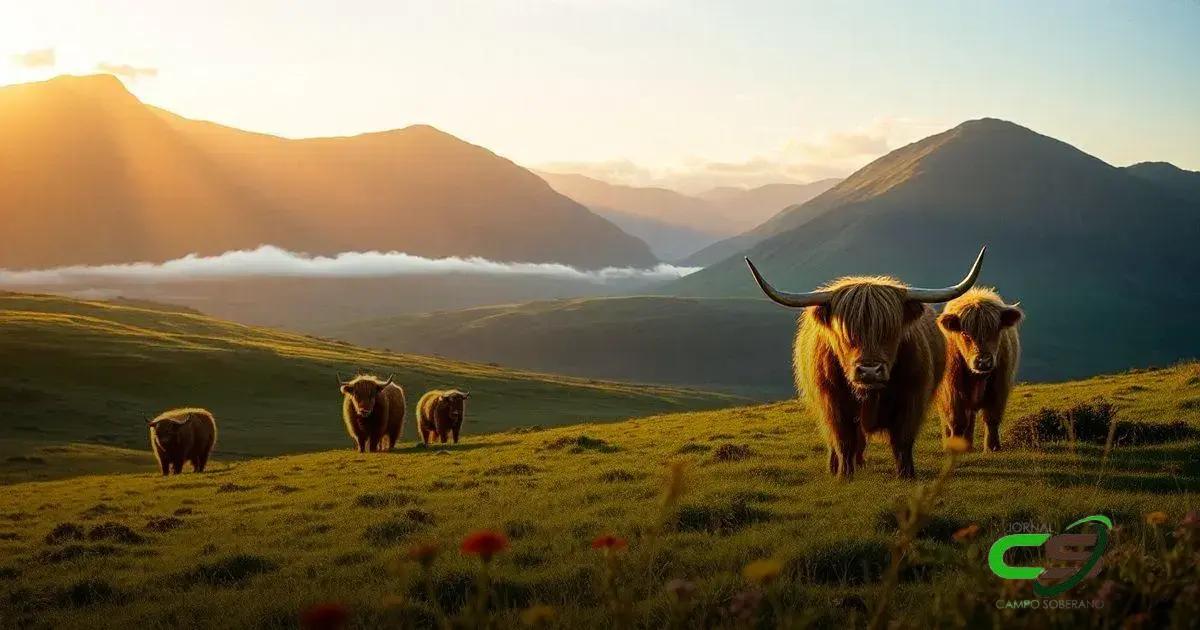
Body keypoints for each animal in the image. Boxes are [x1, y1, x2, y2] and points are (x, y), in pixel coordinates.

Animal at [745, 247, 985, 479]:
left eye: (891, 331)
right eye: (845, 333)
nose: (869, 371)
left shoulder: (912, 399)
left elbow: (902, 441)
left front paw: (907, 475)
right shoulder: (832, 404)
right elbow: (843, 441)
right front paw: (844, 475)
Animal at [935, 288, 1022, 452]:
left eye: (996, 331)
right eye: (964, 333)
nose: (983, 361)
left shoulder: (999, 387)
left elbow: (992, 418)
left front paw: (992, 447)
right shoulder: (951, 390)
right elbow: (956, 420)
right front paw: (954, 447)